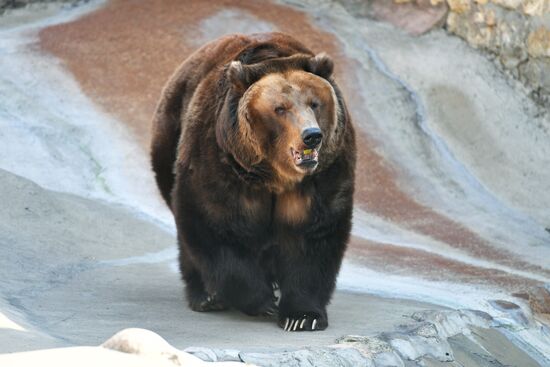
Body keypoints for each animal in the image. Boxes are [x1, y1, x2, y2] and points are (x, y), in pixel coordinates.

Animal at [152, 33, 358, 332]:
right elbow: (217, 226)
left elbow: (312, 236)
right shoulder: (222, 164)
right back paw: (205, 296)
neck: (275, 176)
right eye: (280, 108)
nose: (312, 135)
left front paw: (302, 316)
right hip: (171, 136)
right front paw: (262, 301)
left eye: (314, 103)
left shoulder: (320, 178)